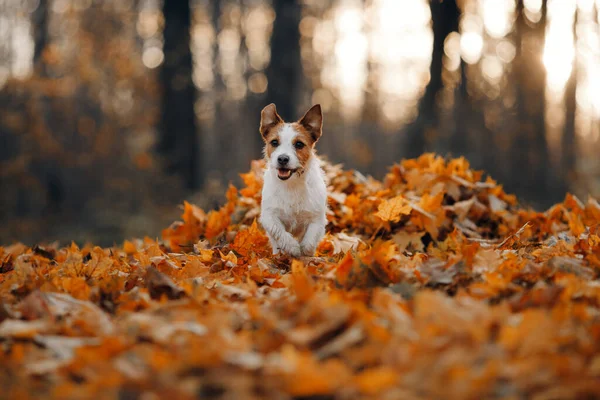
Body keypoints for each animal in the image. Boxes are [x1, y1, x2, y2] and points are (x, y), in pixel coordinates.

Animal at [256, 104, 326, 258]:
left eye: (299, 144)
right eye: (274, 142)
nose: (282, 158)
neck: (291, 184)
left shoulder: (317, 218)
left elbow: (310, 240)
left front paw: (305, 252)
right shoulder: (269, 216)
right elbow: (279, 232)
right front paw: (292, 247)